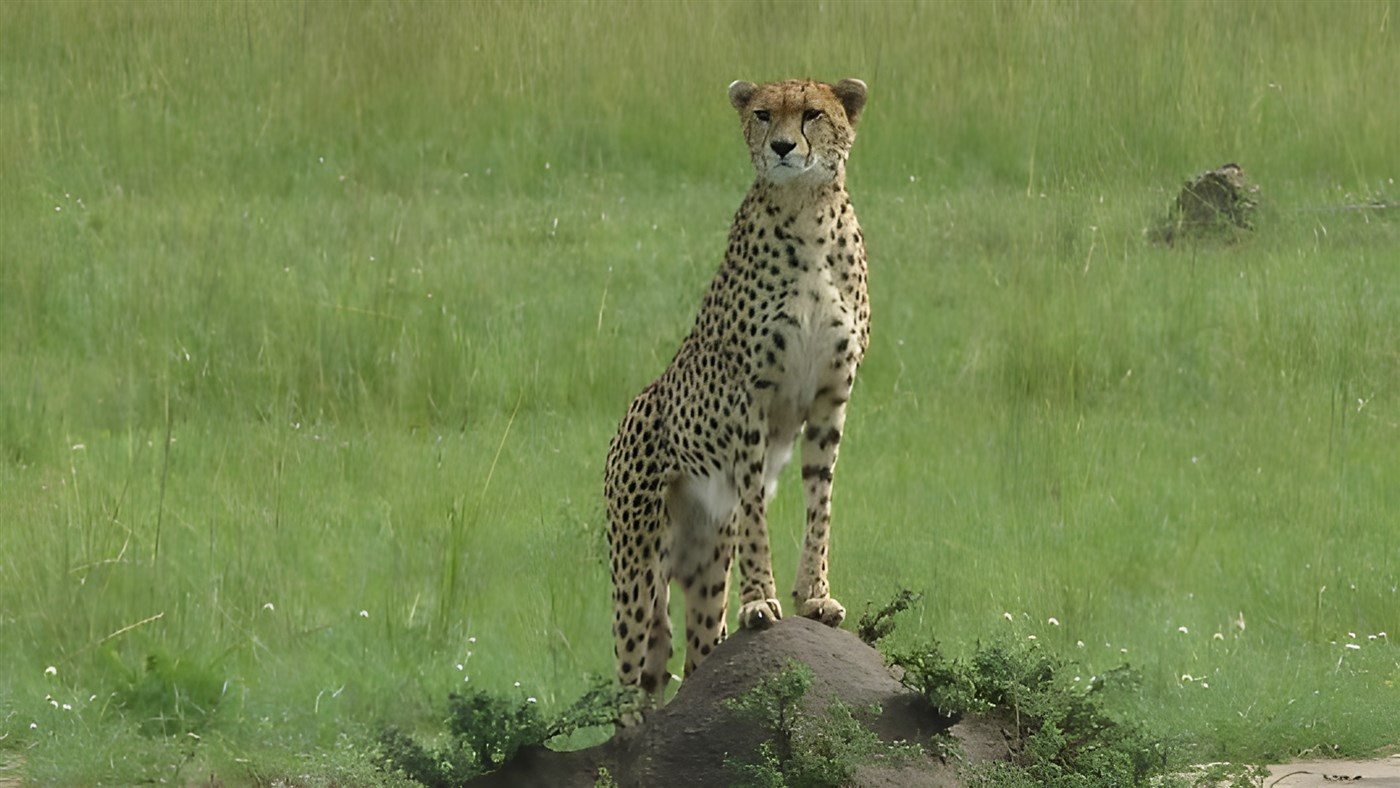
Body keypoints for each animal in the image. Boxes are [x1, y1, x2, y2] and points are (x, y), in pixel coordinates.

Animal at [604, 77, 871, 705]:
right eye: (764, 114)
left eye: (813, 114)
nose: (782, 147)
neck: (806, 211)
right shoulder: (750, 398)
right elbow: (754, 509)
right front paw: (760, 602)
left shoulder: (832, 398)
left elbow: (820, 503)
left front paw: (815, 597)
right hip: (636, 568)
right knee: (629, 679)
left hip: (703, 568)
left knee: (696, 652)